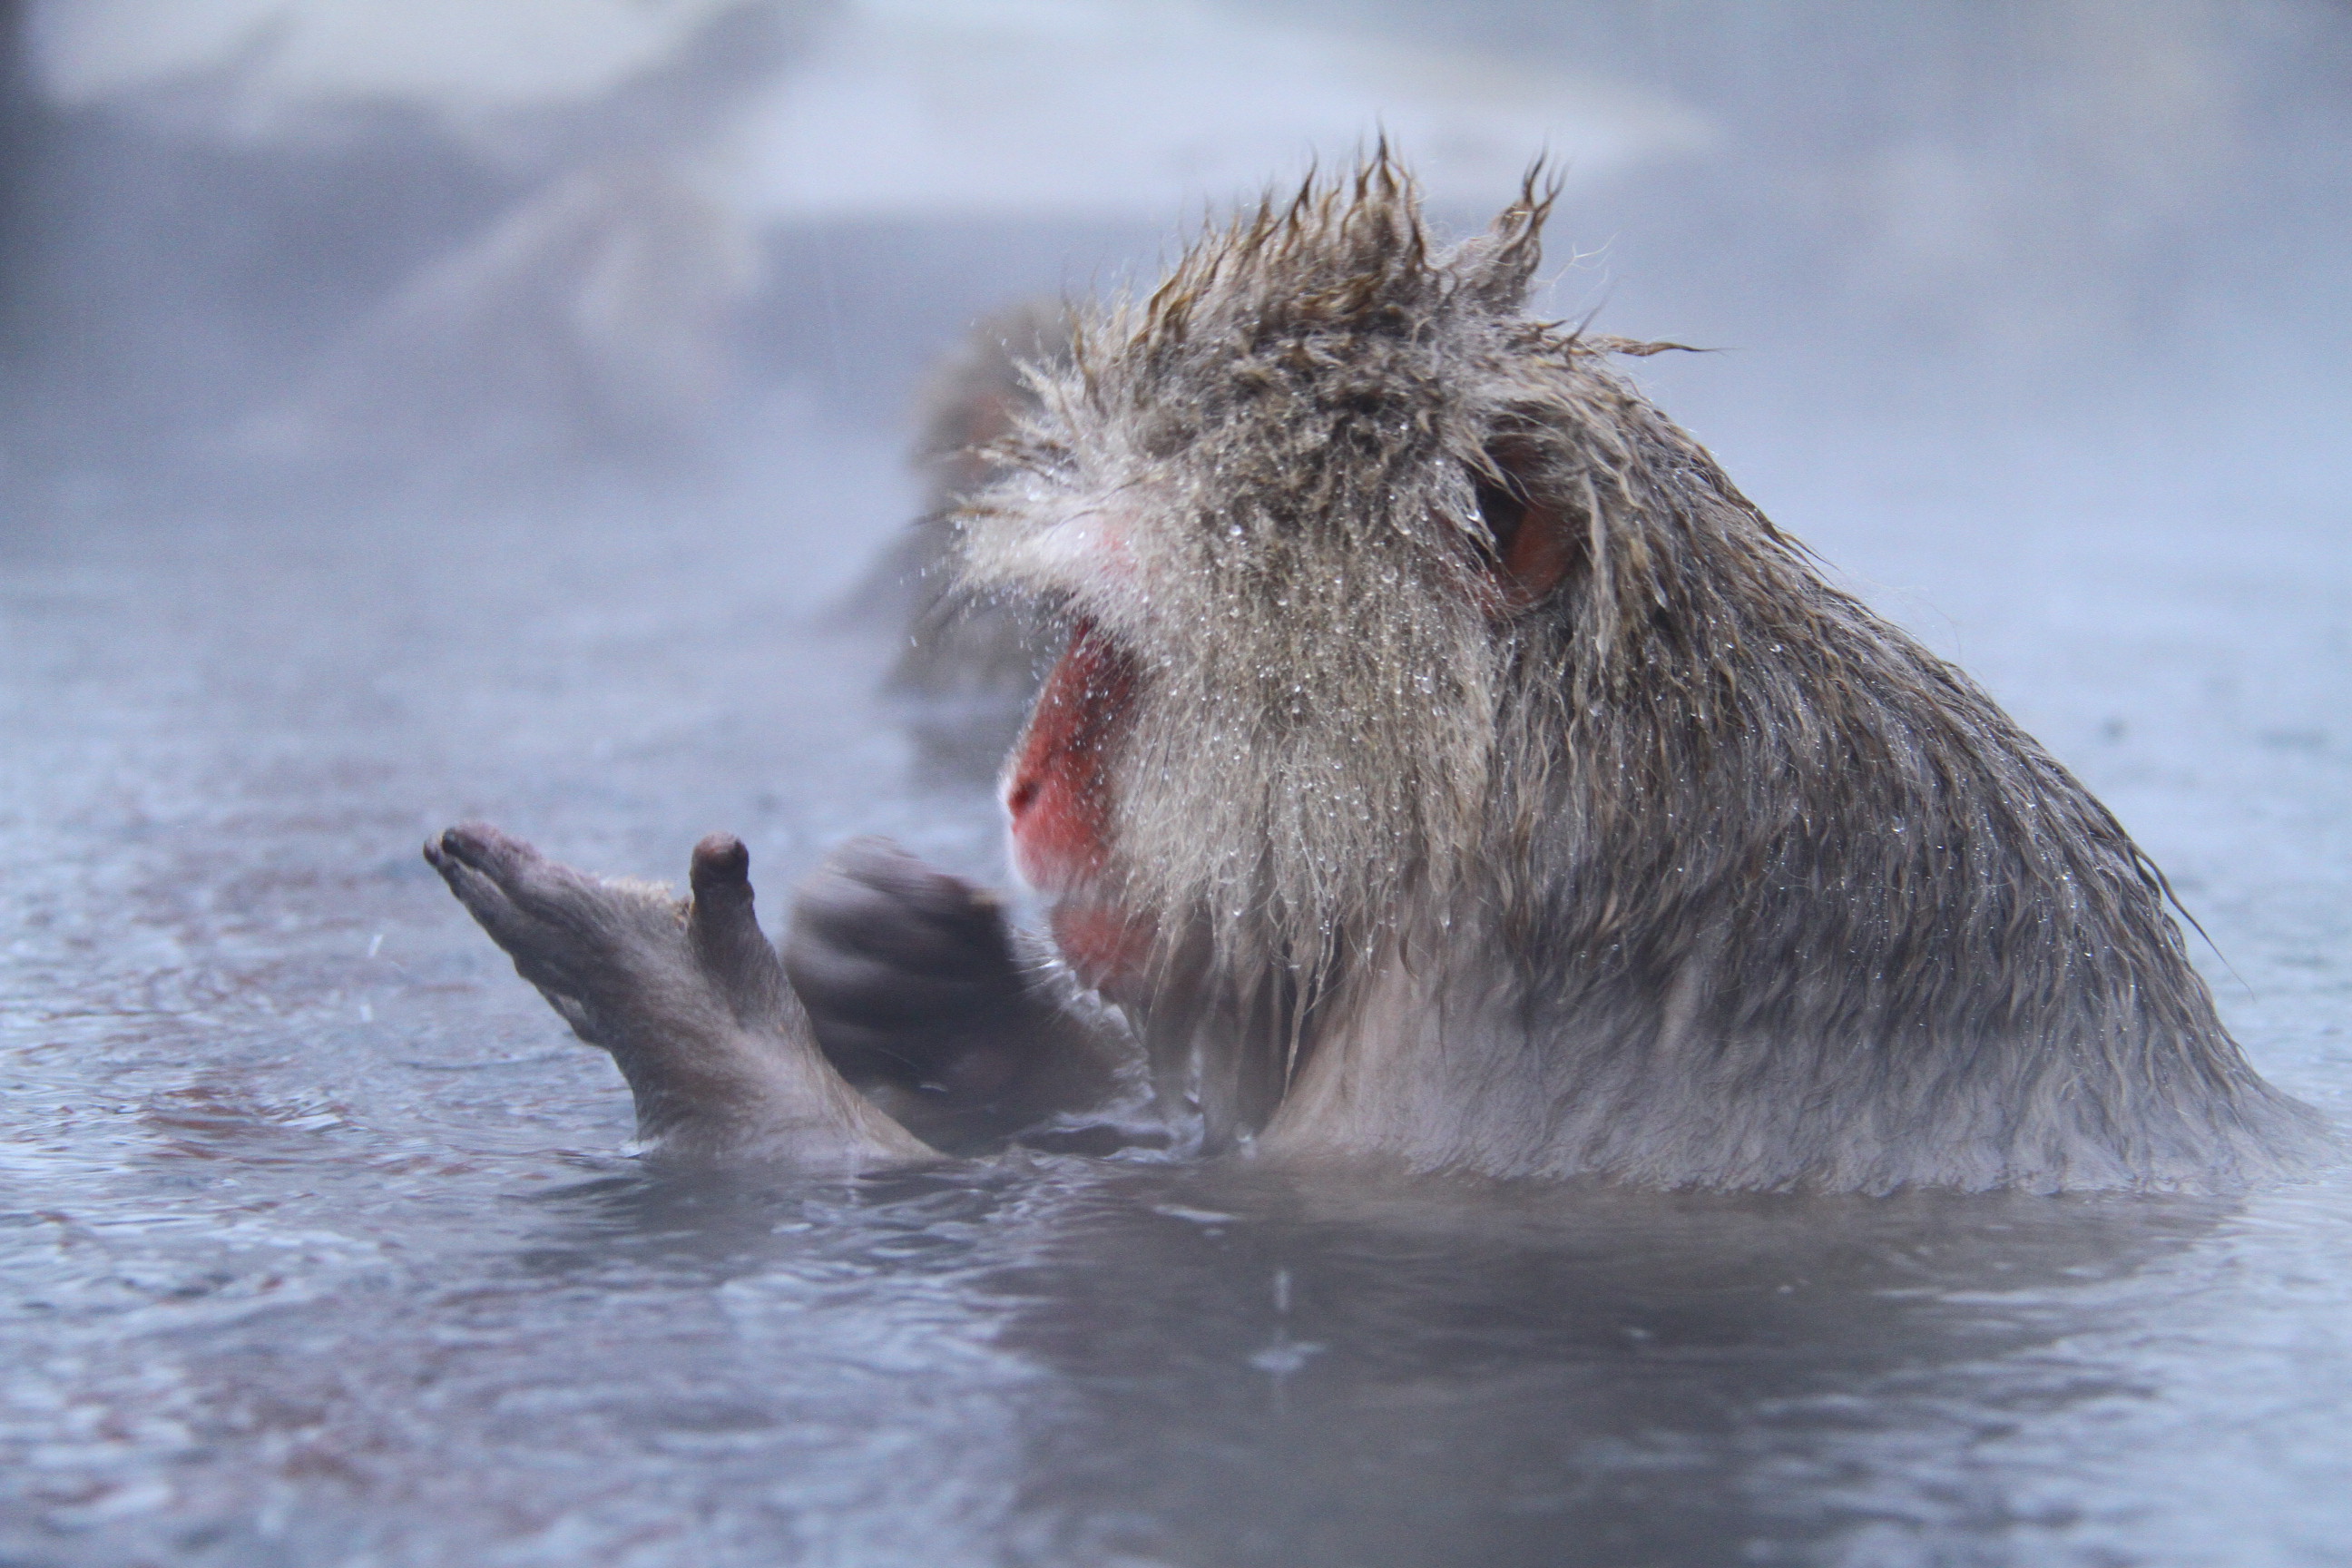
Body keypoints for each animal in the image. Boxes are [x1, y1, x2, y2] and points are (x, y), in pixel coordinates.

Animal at [427, 156, 2333, 1189]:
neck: (1574, 798)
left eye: (1118, 646)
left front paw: (709, 1027)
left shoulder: (1485, 1033)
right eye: (1060, 645)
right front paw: (928, 978)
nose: (1023, 785)